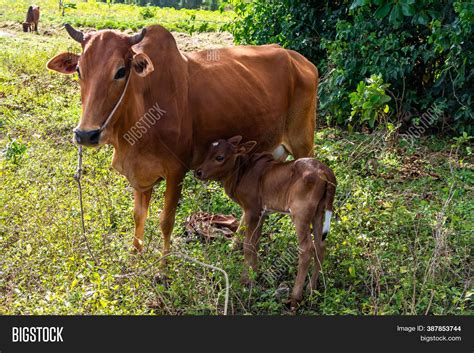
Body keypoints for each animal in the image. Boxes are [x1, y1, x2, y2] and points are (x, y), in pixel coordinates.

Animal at [46, 24, 318, 256]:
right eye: (79, 70)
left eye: (120, 71)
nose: (85, 134)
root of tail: (300, 60)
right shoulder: (140, 176)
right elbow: (138, 217)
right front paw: (135, 256)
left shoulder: (177, 170)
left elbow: (166, 222)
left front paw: (163, 269)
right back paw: (236, 244)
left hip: (303, 144)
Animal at [196, 136, 336, 306]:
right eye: (207, 152)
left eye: (220, 157)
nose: (198, 172)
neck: (242, 172)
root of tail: (325, 171)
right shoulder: (262, 213)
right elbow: (256, 243)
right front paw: (254, 274)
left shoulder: (251, 210)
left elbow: (248, 245)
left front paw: (245, 280)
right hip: (319, 211)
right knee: (320, 245)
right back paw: (312, 289)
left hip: (300, 213)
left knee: (307, 248)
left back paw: (295, 297)